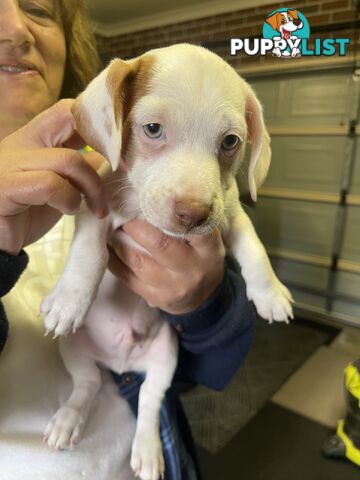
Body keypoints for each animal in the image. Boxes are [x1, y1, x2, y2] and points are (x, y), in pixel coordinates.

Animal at [40, 44, 292, 480]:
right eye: (153, 129)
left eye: (230, 141)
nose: (193, 214)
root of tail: (118, 363)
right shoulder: (96, 206)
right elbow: (90, 251)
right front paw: (70, 300)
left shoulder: (229, 213)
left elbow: (254, 249)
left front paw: (270, 293)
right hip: (73, 347)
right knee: (87, 384)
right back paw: (69, 418)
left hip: (166, 355)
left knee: (147, 402)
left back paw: (147, 450)